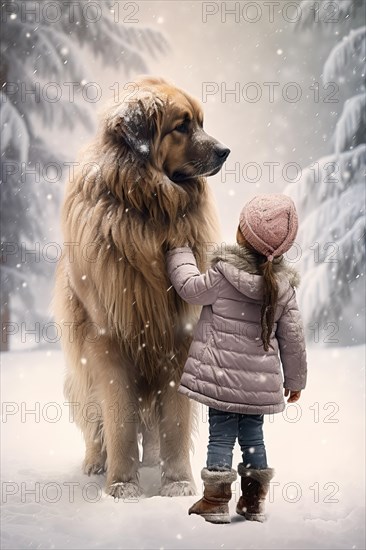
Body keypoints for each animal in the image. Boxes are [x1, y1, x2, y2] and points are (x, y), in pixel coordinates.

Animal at [53, 77, 230, 500]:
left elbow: (175, 422)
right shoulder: (108, 343)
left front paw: (178, 483)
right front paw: (122, 485)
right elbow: (118, 419)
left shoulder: (177, 337)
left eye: (201, 122)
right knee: (95, 419)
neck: (146, 213)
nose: (225, 151)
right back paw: (96, 462)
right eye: (182, 126)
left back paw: (151, 460)